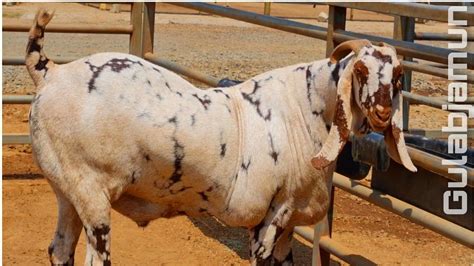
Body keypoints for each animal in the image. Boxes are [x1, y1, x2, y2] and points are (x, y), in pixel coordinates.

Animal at [26, 9, 414, 266]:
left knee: (59, 251)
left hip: (67, 192)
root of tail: (50, 71)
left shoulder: (290, 223)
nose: (382, 114)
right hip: (91, 195)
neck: (304, 110)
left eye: (397, 76)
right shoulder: (268, 220)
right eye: (361, 69)